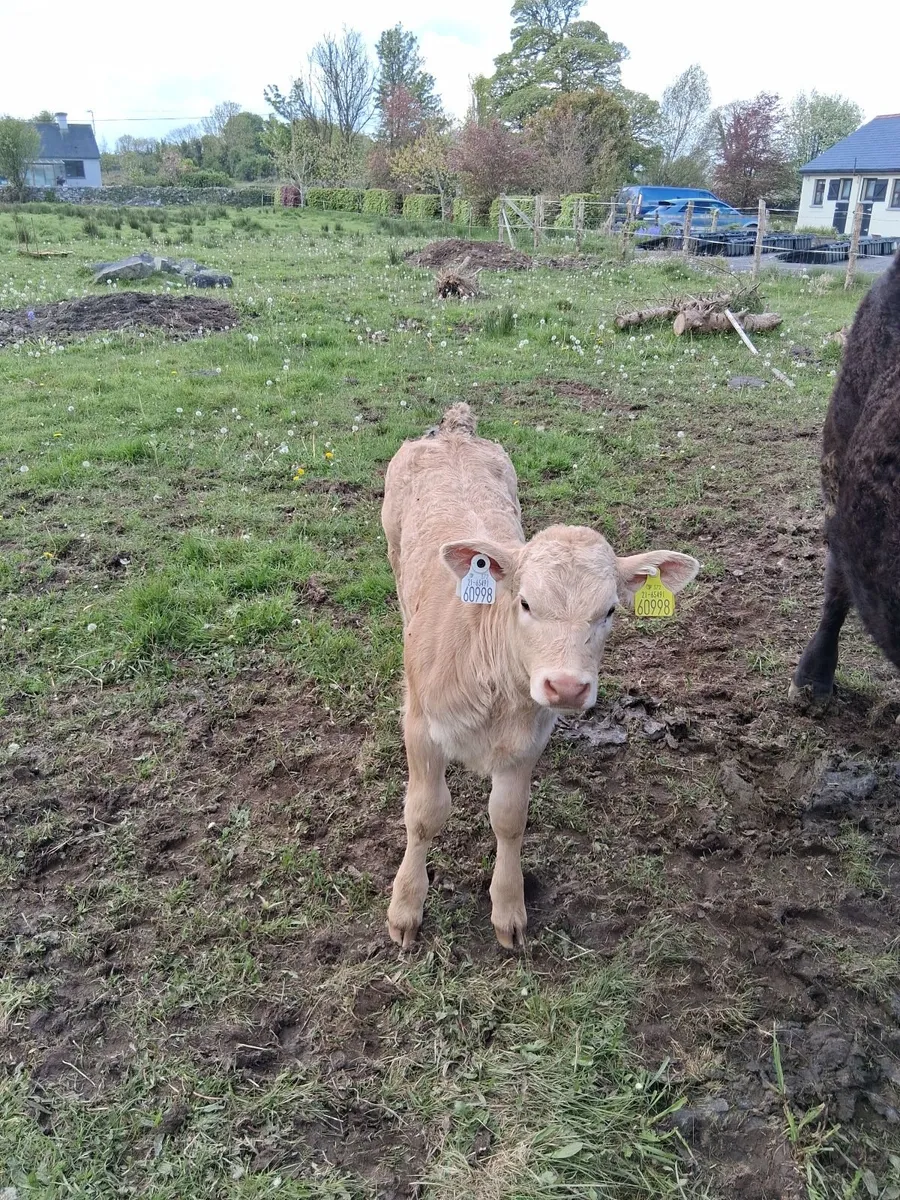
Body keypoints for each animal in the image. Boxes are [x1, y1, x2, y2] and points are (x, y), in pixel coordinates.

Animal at [382, 403, 700, 949]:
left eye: (610, 610)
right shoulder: (420, 727)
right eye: (526, 602)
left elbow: (509, 819)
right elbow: (423, 815)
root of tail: (452, 429)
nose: (567, 687)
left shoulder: (530, 739)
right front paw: (405, 909)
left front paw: (509, 911)